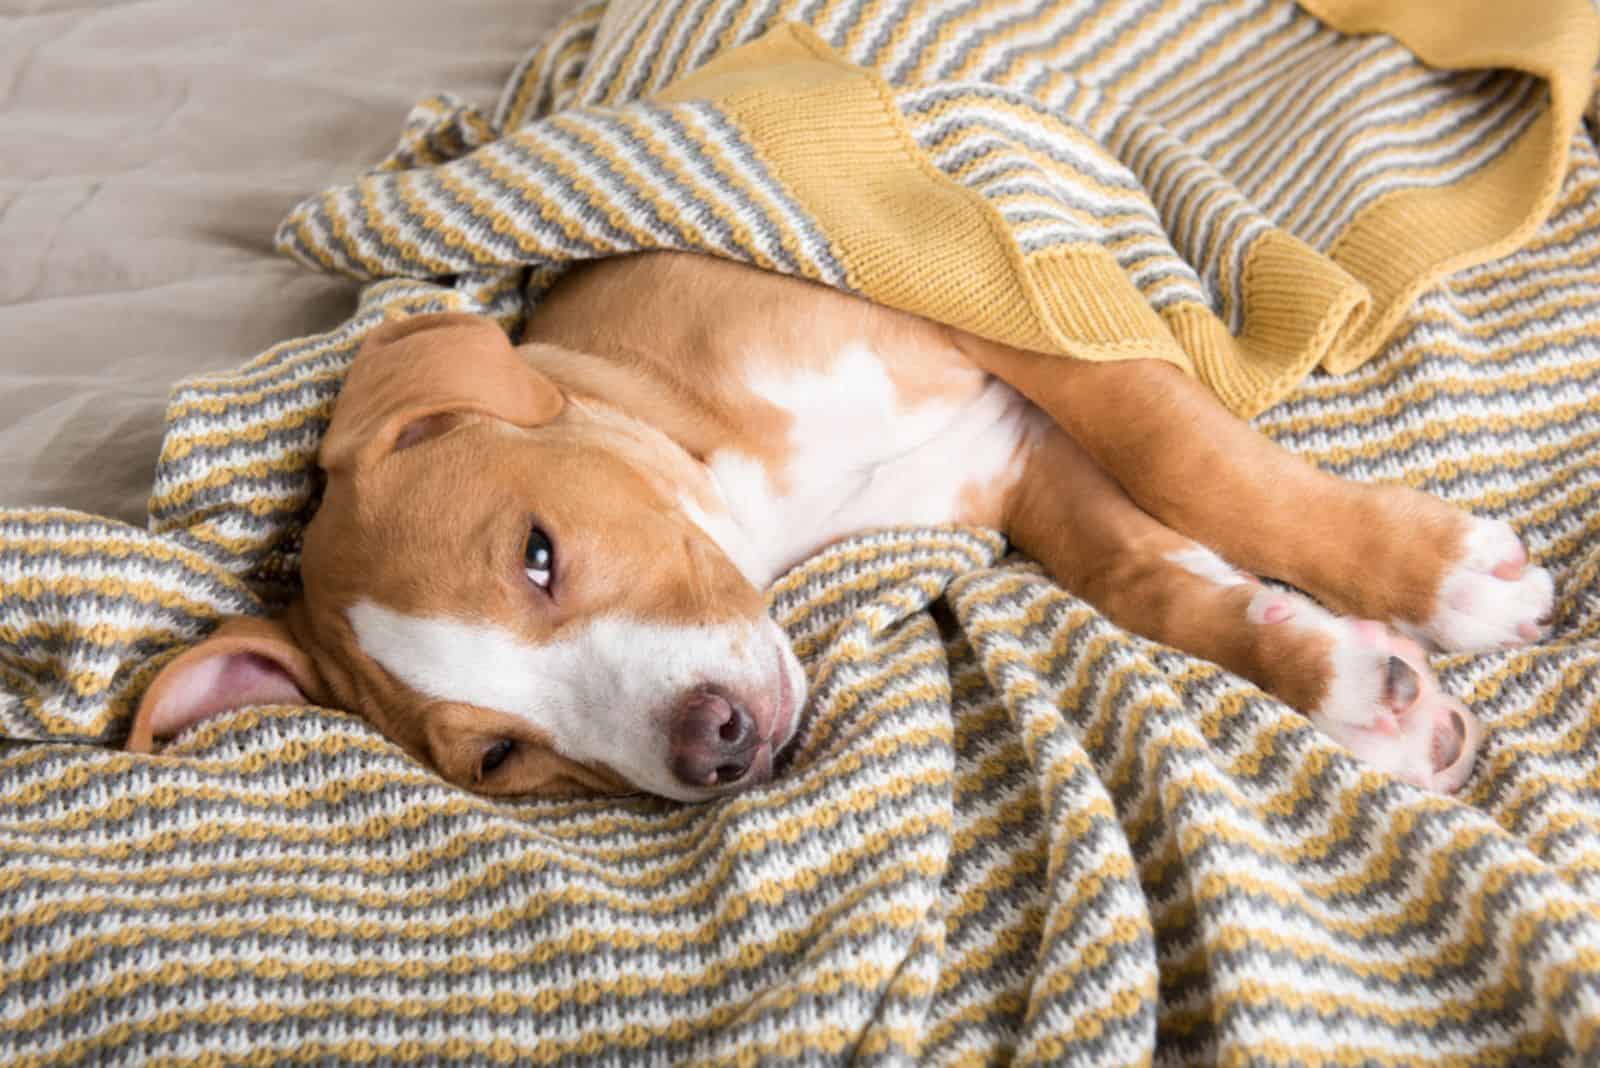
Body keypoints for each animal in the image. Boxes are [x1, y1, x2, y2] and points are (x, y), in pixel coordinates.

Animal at [124, 252, 1548, 799]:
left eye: (538, 552)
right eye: (496, 758)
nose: (716, 746)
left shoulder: (1009, 310)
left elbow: (1192, 460)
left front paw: (1435, 578)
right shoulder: (1018, 466)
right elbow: (1147, 576)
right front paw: (1349, 685)